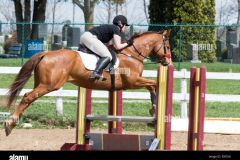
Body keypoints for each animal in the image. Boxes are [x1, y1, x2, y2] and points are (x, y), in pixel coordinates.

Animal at [4, 29, 172, 136]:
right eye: (168, 46)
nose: (167, 62)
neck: (131, 54)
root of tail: (46, 53)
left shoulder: (134, 82)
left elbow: (151, 85)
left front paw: (154, 108)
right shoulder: (132, 82)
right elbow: (153, 84)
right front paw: (155, 108)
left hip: (42, 83)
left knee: (28, 97)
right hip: (50, 85)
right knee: (27, 97)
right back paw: (10, 123)